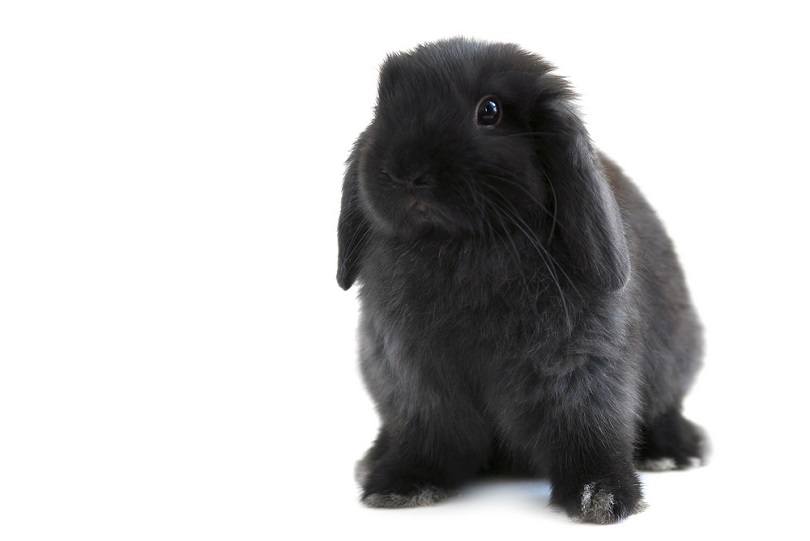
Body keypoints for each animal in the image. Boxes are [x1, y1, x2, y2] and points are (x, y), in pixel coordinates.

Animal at [336, 38, 705, 524]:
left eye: (489, 111)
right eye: (382, 108)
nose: (405, 172)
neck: (461, 246)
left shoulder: (577, 365)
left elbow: (588, 427)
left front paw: (603, 497)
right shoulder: (411, 374)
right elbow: (427, 432)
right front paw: (401, 484)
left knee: (664, 409)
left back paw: (674, 451)